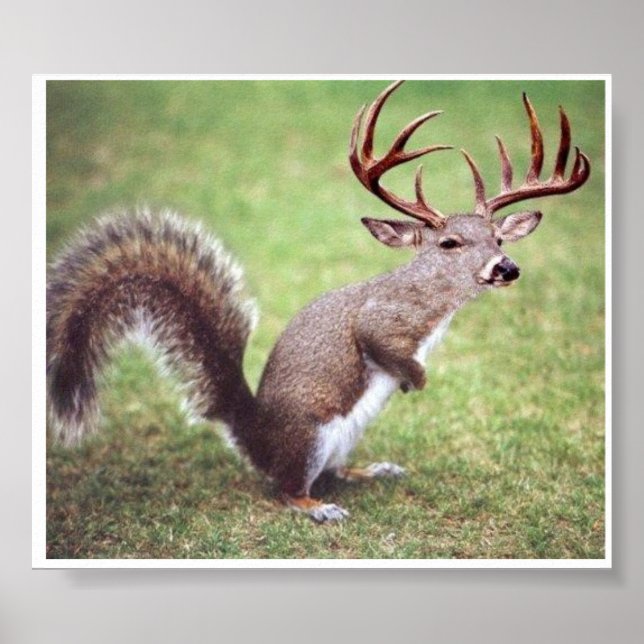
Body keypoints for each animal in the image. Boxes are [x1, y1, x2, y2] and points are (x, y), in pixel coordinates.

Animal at [47, 81, 590, 523]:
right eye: (449, 243)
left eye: (499, 238)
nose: (506, 268)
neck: (436, 298)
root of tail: (257, 438)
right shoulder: (382, 320)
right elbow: (382, 344)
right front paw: (416, 380)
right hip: (310, 438)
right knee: (288, 489)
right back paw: (319, 507)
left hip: (340, 441)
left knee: (335, 471)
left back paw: (372, 470)